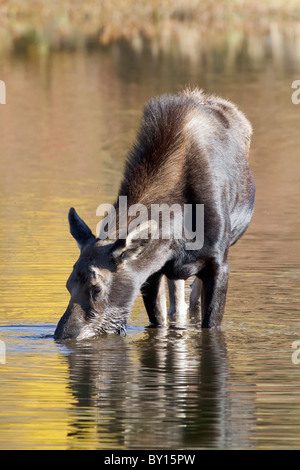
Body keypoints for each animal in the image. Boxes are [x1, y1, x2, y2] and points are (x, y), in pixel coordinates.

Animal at [54, 87, 255, 342]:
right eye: (67, 285)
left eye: (96, 287)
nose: (63, 335)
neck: (179, 229)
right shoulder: (153, 271)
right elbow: (160, 321)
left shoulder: (219, 262)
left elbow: (210, 321)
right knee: (178, 303)